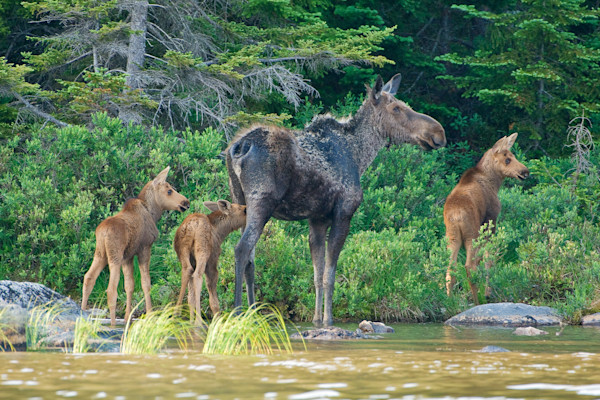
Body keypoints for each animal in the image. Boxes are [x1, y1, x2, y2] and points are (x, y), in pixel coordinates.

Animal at [79, 166, 188, 324]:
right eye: (169, 191)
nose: (185, 202)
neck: (153, 212)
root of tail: (103, 233)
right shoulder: (144, 248)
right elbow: (146, 283)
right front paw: (149, 313)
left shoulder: (128, 257)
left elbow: (129, 285)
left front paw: (127, 317)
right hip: (114, 256)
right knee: (111, 289)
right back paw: (112, 324)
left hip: (100, 254)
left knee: (88, 278)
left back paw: (81, 313)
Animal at [225, 73, 446, 326]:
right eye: (396, 108)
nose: (438, 132)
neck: (360, 156)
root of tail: (238, 147)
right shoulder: (343, 213)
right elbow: (330, 275)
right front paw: (329, 320)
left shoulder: (317, 219)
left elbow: (317, 274)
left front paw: (316, 319)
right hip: (261, 202)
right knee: (241, 249)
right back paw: (238, 312)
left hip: (240, 202)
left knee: (251, 259)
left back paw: (253, 312)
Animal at [442, 133, 528, 304]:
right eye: (507, 159)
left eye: (513, 156)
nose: (525, 171)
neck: (495, 182)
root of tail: (456, 215)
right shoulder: (491, 219)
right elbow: (489, 257)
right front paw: (488, 291)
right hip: (472, 234)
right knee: (469, 266)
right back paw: (478, 300)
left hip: (452, 236)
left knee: (451, 267)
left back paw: (450, 300)